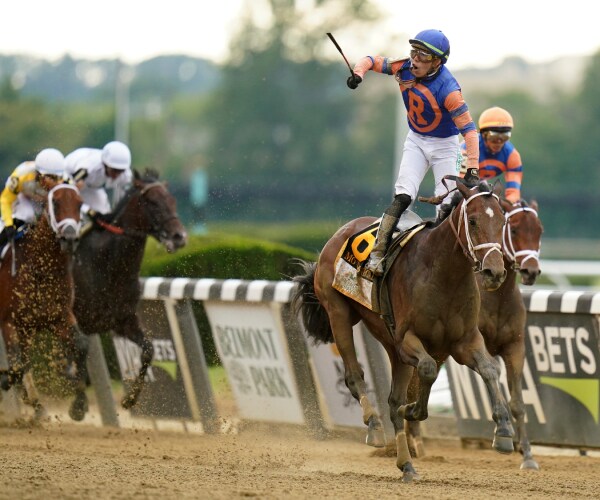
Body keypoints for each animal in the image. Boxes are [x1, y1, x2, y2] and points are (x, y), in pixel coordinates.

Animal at [0, 182, 89, 421]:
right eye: (55, 203)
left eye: (80, 204)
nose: (69, 238)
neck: (42, 268)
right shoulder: (9, 321)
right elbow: (17, 365)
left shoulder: (57, 316)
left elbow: (81, 345)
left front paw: (79, 403)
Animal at [72, 168, 187, 409]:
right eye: (152, 202)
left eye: (172, 200)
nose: (179, 237)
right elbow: (78, 352)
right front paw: (77, 404)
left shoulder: (123, 320)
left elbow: (148, 350)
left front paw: (130, 398)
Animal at [292, 180, 513, 482]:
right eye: (473, 220)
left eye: (503, 221)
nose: (495, 272)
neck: (444, 274)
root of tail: (341, 231)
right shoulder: (407, 339)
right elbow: (428, 371)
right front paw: (413, 409)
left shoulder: (464, 341)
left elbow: (489, 370)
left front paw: (503, 431)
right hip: (339, 314)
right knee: (354, 375)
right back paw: (374, 426)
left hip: (390, 344)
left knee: (393, 399)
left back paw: (406, 464)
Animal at [405, 195, 543, 471]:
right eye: (514, 230)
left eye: (539, 231)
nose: (531, 271)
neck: (498, 297)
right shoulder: (474, 342)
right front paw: (503, 434)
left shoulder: (515, 347)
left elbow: (517, 402)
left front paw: (527, 454)